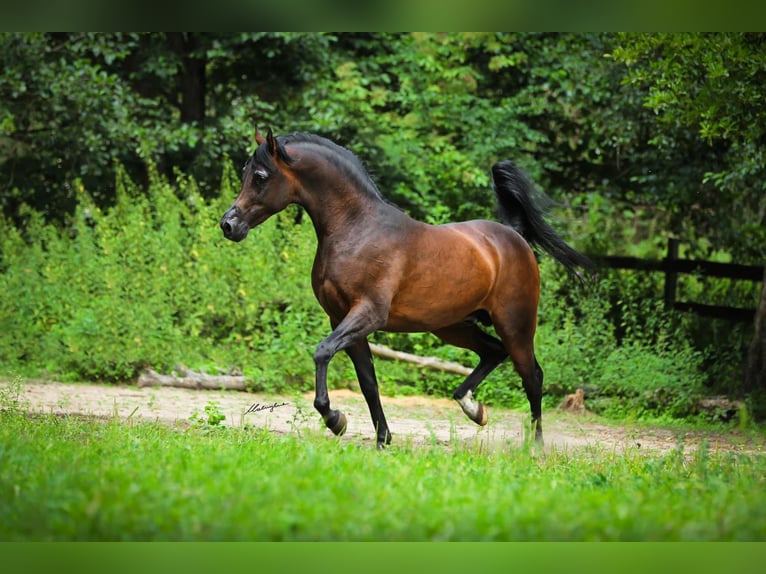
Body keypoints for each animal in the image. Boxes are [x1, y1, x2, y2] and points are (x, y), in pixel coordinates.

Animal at [222, 128, 592, 452]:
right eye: (244, 172)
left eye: (260, 176)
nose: (229, 225)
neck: (357, 228)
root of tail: (513, 237)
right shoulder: (341, 319)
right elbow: (368, 382)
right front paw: (381, 439)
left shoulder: (367, 314)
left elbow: (323, 352)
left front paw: (335, 419)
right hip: (453, 326)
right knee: (493, 352)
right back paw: (474, 409)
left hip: (515, 324)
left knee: (532, 376)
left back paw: (536, 446)